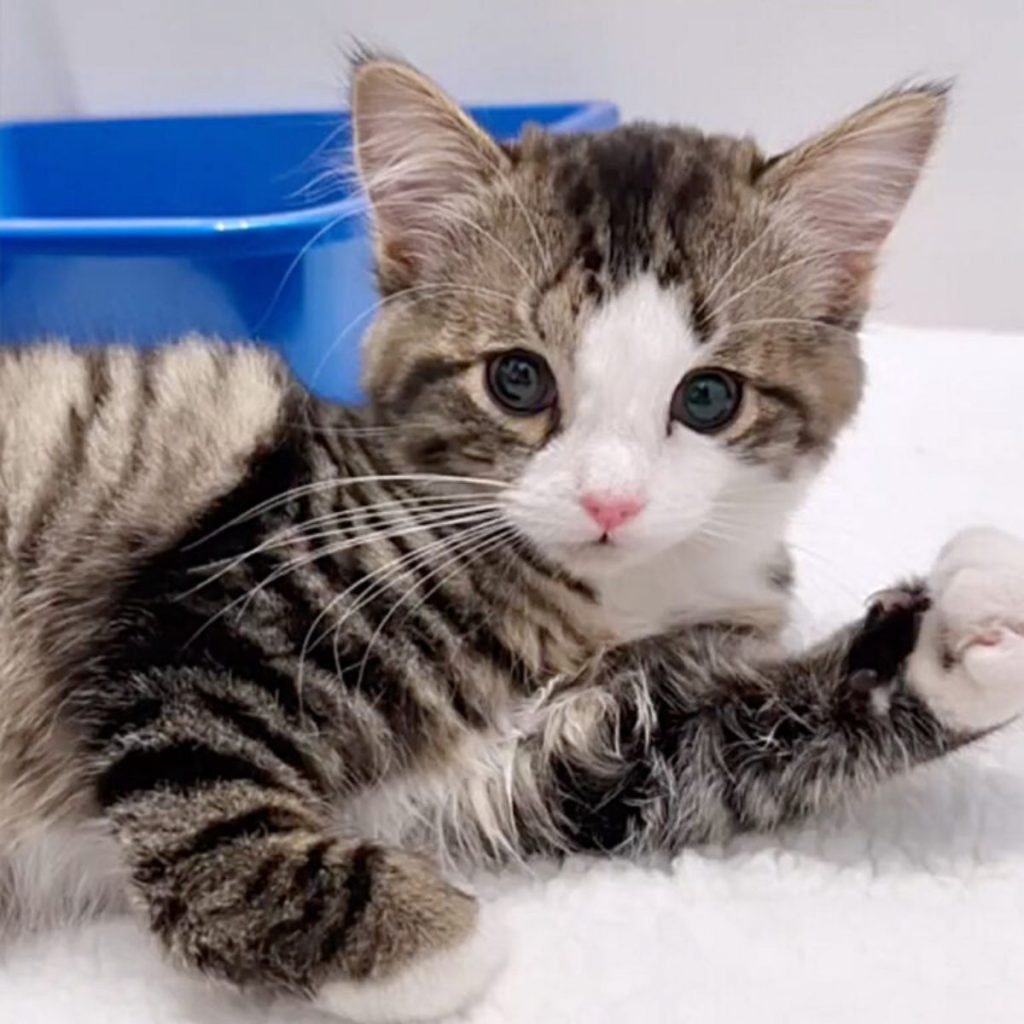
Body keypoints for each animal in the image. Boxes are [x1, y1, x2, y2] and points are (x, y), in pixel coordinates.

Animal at [2, 56, 1024, 1024]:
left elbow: (711, 742)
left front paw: (957, 638)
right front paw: (428, 946)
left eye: (708, 398)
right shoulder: (210, 610)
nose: (610, 502)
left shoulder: (560, 755)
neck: (597, 602)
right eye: (519, 381)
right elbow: (206, 803)